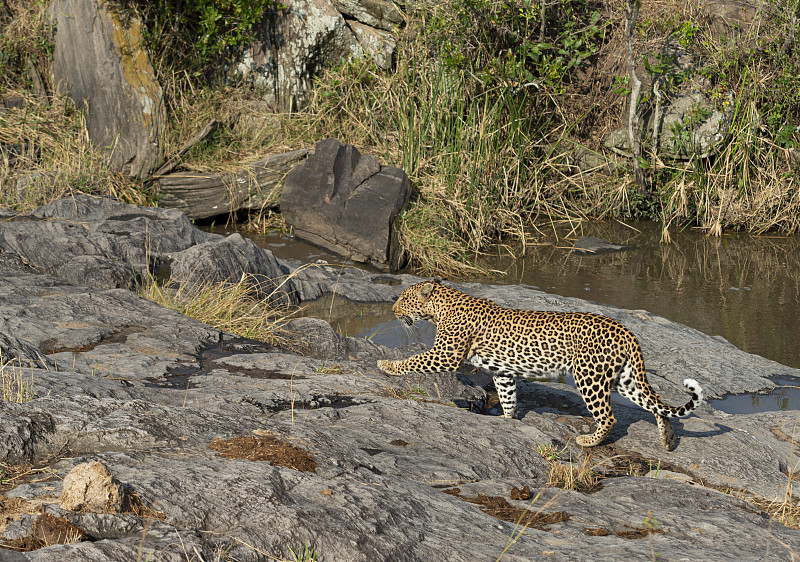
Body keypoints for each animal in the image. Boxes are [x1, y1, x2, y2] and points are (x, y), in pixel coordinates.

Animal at [376, 278, 700, 448]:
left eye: (403, 299)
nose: (392, 310)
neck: (441, 307)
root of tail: (627, 331)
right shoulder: (503, 371)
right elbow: (508, 397)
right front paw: (507, 420)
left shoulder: (446, 354)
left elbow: (413, 360)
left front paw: (386, 366)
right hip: (625, 378)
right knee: (656, 402)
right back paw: (667, 437)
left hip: (589, 376)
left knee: (609, 417)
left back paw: (588, 441)